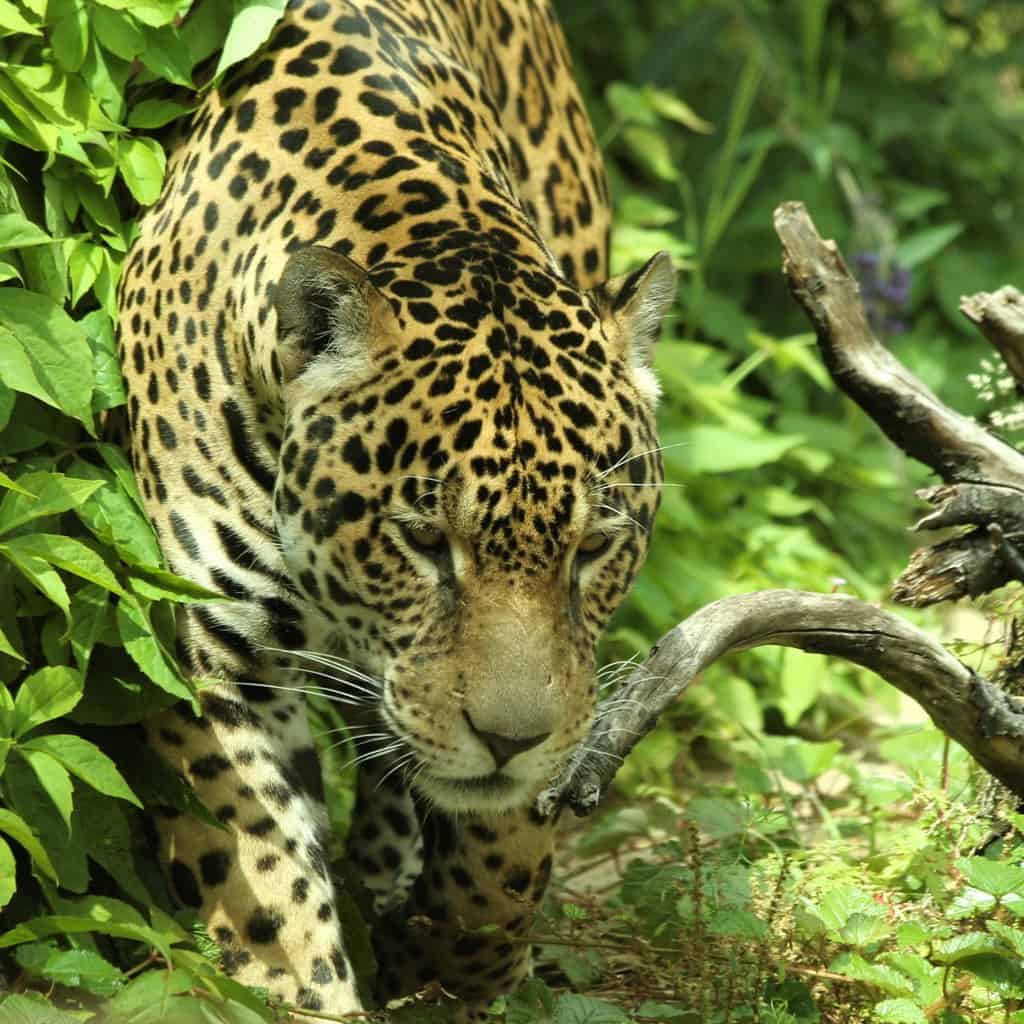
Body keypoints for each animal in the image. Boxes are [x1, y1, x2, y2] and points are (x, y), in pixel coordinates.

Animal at [116, 0, 675, 1017]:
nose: (508, 739)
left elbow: (504, 849)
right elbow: (263, 877)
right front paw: (309, 985)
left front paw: (457, 960)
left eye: (592, 550)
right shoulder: (214, 648)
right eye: (422, 543)